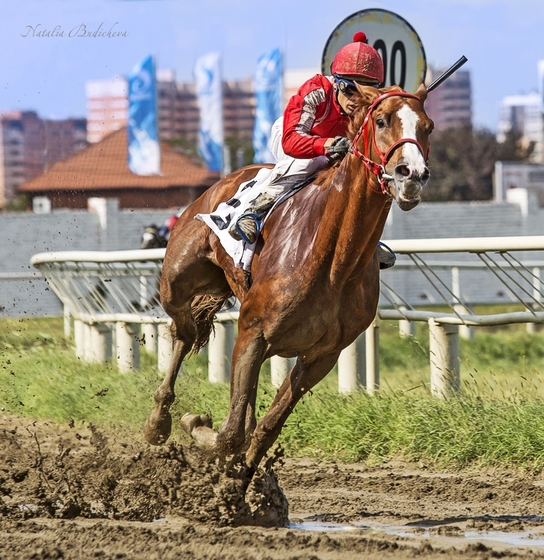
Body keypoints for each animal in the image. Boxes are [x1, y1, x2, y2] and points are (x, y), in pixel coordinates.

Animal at [143, 83, 434, 476]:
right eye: (382, 120)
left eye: (428, 127)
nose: (411, 174)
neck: (335, 264)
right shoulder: (253, 333)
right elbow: (231, 434)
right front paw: (198, 428)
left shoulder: (321, 356)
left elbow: (264, 429)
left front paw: (240, 485)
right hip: (178, 278)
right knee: (185, 332)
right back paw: (159, 421)